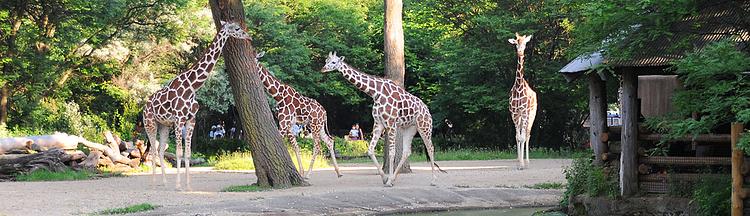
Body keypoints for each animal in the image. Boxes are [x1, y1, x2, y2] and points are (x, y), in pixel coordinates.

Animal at [142, 21, 254, 190]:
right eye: (236, 28)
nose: (249, 36)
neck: (192, 87)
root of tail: (145, 106)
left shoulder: (191, 119)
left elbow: (187, 153)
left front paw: (188, 186)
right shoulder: (179, 119)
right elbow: (179, 153)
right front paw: (178, 185)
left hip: (164, 125)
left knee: (160, 150)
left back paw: (164, 182)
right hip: (150, 123)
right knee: (153, 151)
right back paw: (154, 183)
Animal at [256, 51, 344, 179]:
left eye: (256, 58)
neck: (278, 95)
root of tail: (325, 112)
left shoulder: (284, 123)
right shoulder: (288, 124)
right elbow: (295, 147)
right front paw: (300, 172)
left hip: (314, 125)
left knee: (317, 145)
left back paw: (309, 173)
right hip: (319, 126)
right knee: (329, 141)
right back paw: (338, 172)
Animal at [318, 51, 446, 186]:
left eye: (333, 62)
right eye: (326, 60)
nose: (323, 69)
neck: (376, 93)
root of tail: (427, 109)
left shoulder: (390, 123)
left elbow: (391, 152)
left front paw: (388, 181)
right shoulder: (378, 123)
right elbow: (370, 150)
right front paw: (385, 178)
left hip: (424, 126)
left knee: (430, 147)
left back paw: (433, 180)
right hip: (409, 128)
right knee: (407, 151)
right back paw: (394, 178)